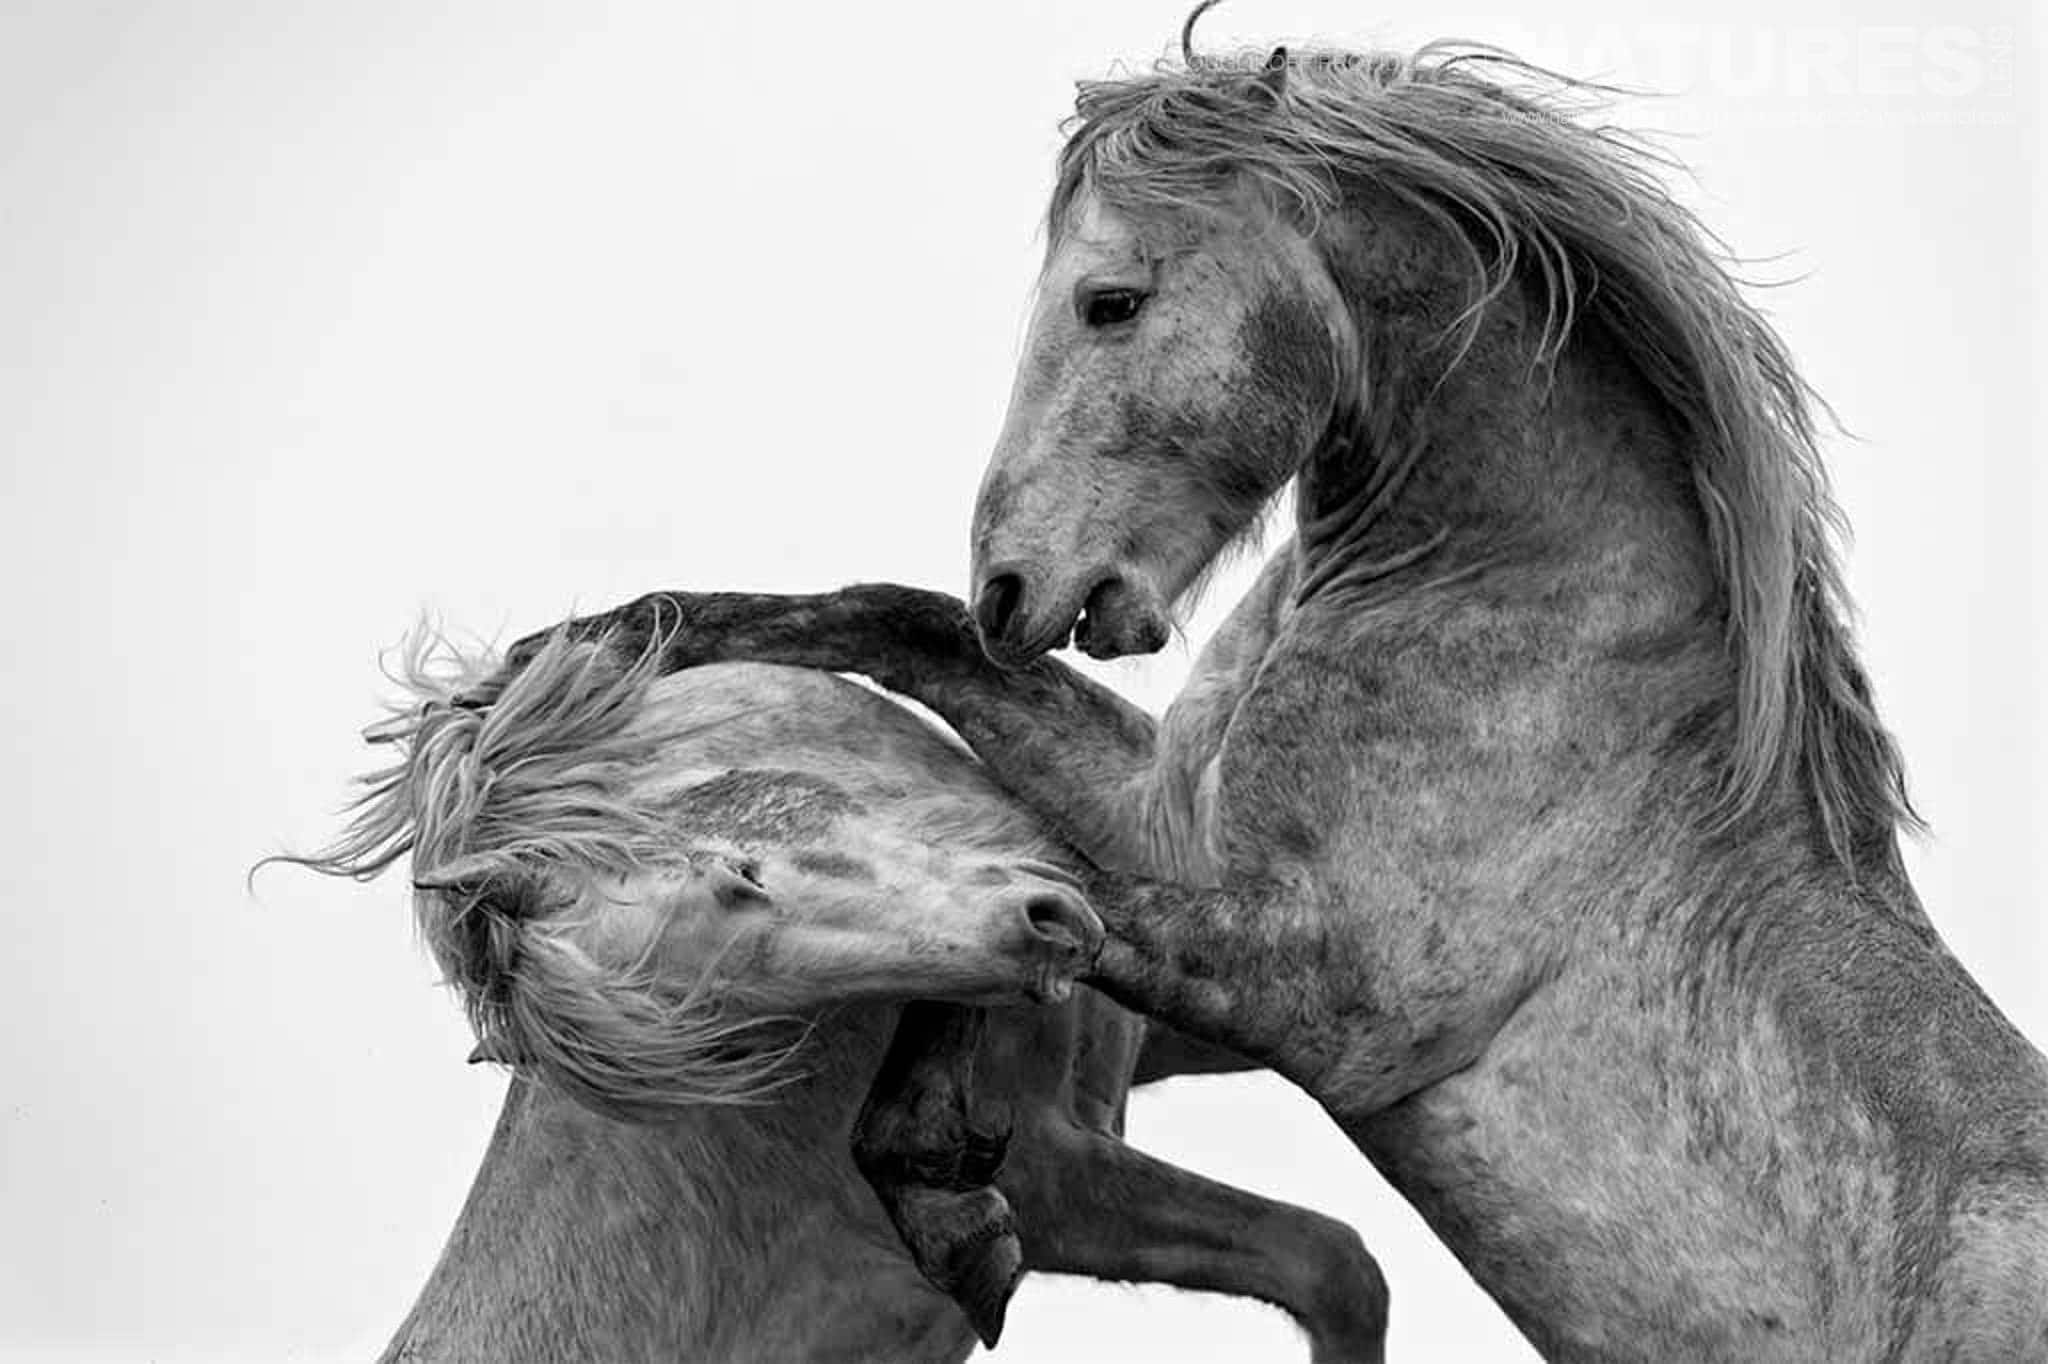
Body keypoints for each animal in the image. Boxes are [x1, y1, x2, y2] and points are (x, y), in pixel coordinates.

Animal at [288, 630, 1388, 1362]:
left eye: (739, 876)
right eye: (717, 1021)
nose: (1041, 926)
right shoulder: (1060, 1176)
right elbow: (1336, 1268)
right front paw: (954, 1216)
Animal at [498, 31, 2048, 1361]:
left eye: (1111, 301)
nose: (1014, 585)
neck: (1507, 607)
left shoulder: (1322, 996)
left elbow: (1056, 902)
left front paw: (950, 1198)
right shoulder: (1170, 819)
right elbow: (905, 659)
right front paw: (577, 653)